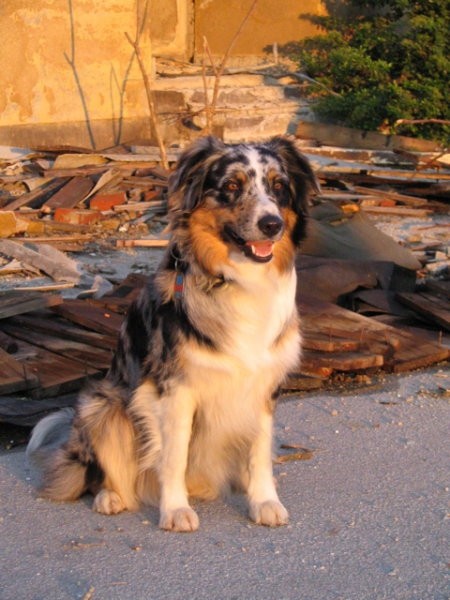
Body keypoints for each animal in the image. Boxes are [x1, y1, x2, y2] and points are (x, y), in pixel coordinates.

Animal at [27, 135, 316, 528]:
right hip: (101, 406)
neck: (236, 281)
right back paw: (111, 496)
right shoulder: (175, 388)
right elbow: (174, 455)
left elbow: (259, 451)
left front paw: (264, 501)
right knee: (101, 471)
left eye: (279, 187)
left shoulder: (262, 386)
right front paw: (176, 510)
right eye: (231, 186)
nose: (272, 224)